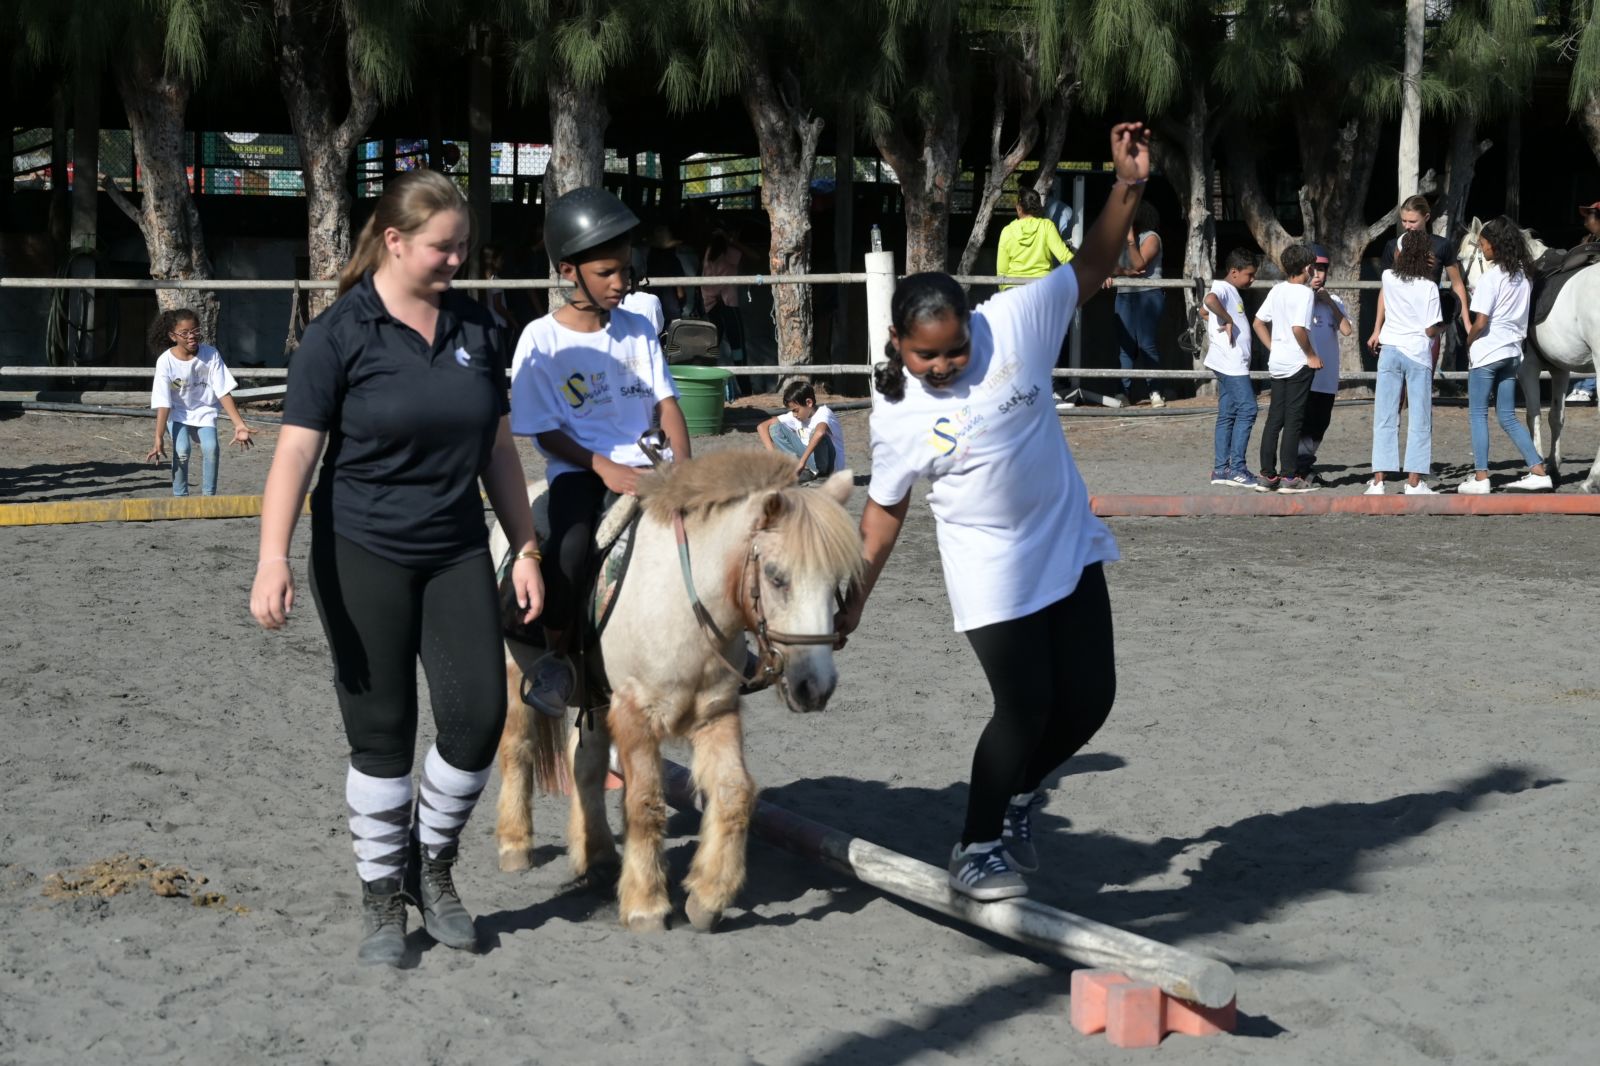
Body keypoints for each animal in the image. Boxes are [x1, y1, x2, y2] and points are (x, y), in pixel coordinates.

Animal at [492, 448, 857, 928]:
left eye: (836, 582)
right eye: (777, 577)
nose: (815, 687)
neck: (684, 604)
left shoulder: (716, 712)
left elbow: (734, 793)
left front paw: (708, 897)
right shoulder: (634, 714)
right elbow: (645, 803)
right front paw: (646, 905)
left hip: (595, 697)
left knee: (584, 765)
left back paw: (599, 856)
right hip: (517, 676)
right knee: (518, 750)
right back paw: (515, 845)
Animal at [1465, 219, 1600, 492]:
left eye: (1463, 258)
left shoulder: (1527, 368)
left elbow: (1532, 416)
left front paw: (1536, 473)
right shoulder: (1561, 368)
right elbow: (1556, 417)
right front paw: (1553, 468)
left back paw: (1591, 480)